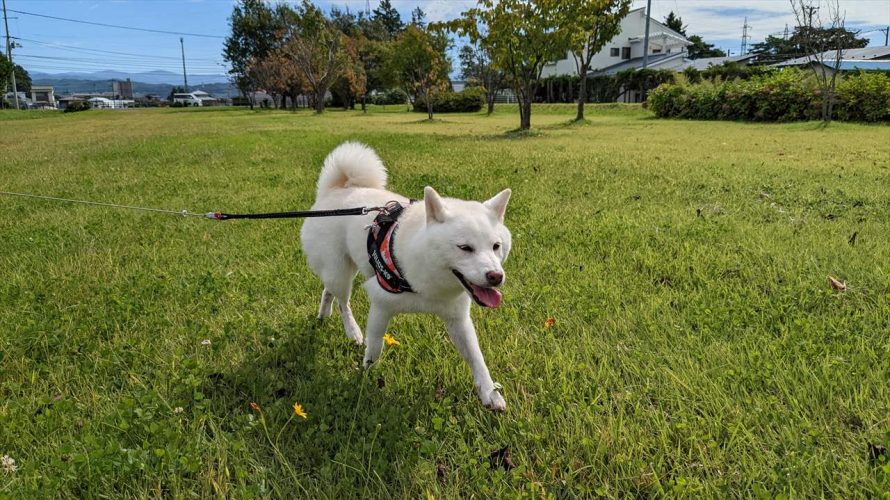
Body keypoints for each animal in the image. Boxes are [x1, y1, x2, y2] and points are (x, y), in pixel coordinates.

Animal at [298, 142, 510, 410]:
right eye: (465, 248)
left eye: (496, 246)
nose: (495, 276)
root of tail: (333, 191)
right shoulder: (381, 303)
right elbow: (375, 346)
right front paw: (365, 377)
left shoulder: (457, 318)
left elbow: (476, 358)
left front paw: (490, 393)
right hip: (340, 271)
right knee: (342, 302)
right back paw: (353, 331)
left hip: (340, 269)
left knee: (329, 290)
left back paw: (323, 314)